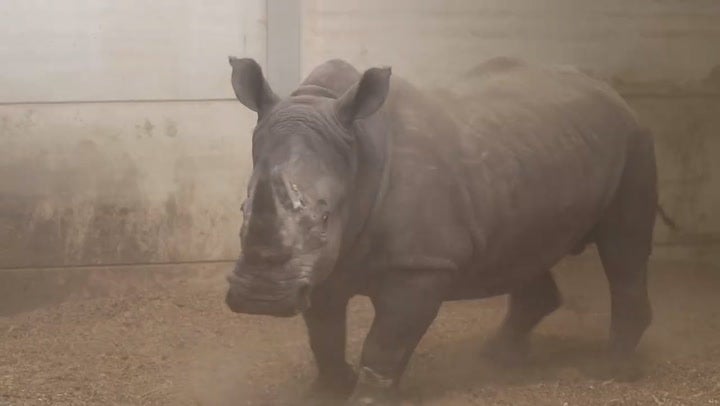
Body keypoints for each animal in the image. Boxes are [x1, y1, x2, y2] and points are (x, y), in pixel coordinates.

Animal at [224, 55, 659, 405]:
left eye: (325, 215)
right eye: (243, 209)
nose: (260, 298)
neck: (358, 153)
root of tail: (611, 91)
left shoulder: (422, 265)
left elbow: (386, 342)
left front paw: (367, 397)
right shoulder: (322, 263)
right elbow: (324, 334)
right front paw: (328, 389)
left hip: (633, 141)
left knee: (624, 247)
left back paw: (609, 370)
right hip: (532, 155)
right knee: (526, 248)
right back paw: (497, 358)